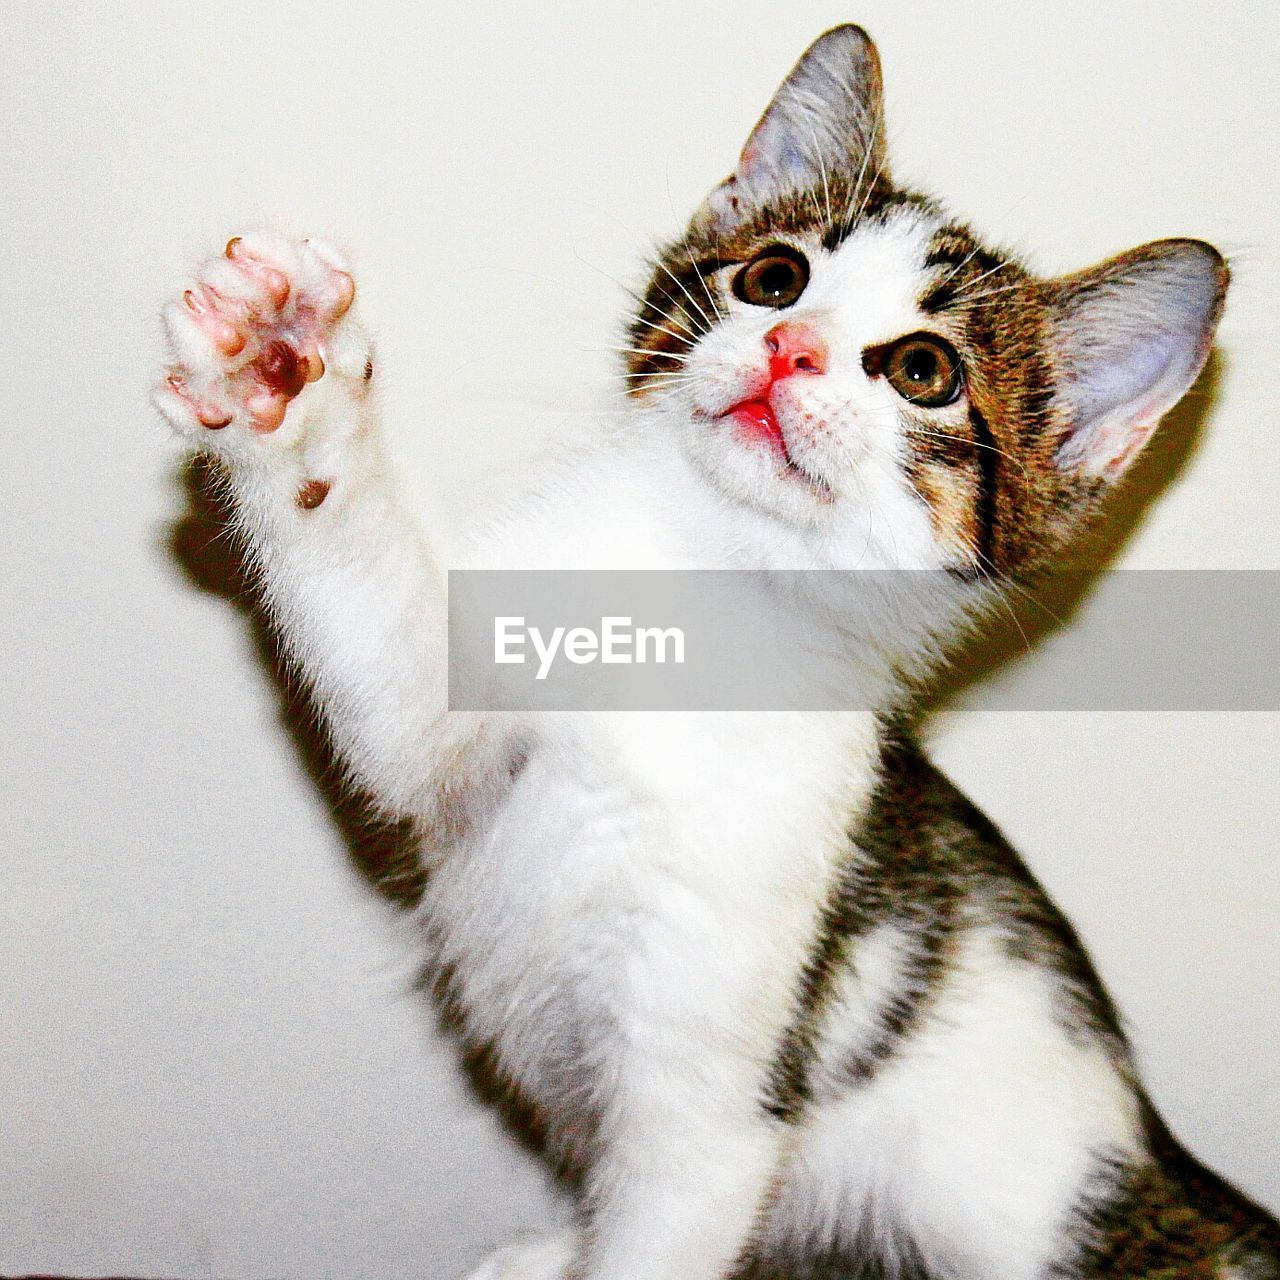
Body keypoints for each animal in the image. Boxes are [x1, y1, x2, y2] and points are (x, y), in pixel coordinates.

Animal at [154, 20, 1274, 1280]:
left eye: (922, 370)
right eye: (772, 277)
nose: (788, 347)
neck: (702, 589)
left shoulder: (715, 1102)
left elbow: (656, 1228)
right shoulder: (458, 714)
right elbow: (387, 667)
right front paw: (281, 369)